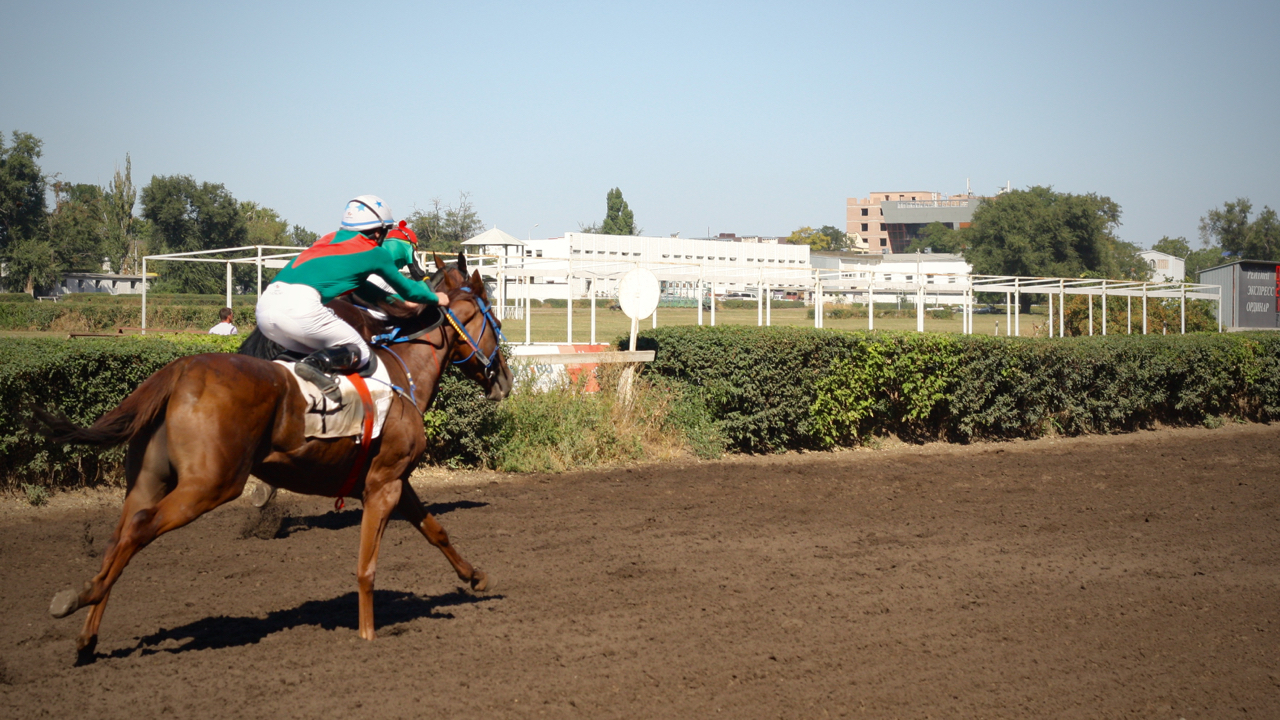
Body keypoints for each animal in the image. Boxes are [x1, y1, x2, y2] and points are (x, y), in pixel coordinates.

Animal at [31, 253, 509, 661]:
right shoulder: (382, 486)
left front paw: (476, 576)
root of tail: (179, 369)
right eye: (498, 322)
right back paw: (80, 597)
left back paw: (87, 632)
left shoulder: (395, 482)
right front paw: (367, 634)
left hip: (149, 479)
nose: (504, 379)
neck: (402, 371)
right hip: (210, 484)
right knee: (140, 528)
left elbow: (436, 530)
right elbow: (367, 566)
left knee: (120, 535)